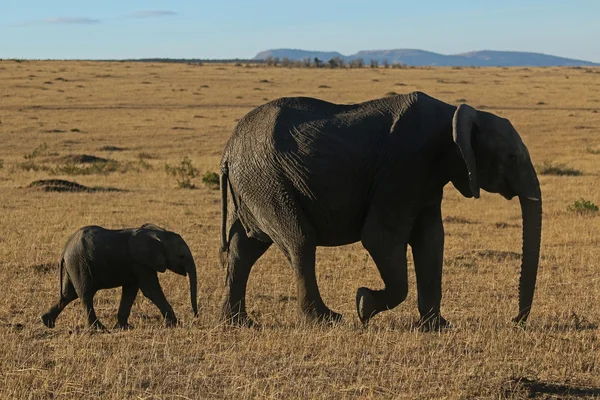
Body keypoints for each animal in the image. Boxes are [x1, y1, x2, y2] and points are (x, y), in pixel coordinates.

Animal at [40, 223, 199, 330]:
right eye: (181, 256)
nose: (196, 317)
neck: (159, 234)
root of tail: (65, 250)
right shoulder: (140, 263)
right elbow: (151, 290)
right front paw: (174, 324)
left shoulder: (137, 265)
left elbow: (130, 291)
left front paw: (124, 327)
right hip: (79, 263)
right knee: (85, 295)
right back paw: (99, 330)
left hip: (73, 265)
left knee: (68, 294)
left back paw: (47, 322)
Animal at [218, 92, 540, 330]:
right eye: (512, 157)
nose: (516, 321)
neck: (453, 116)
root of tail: (228, 150)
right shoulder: (403, 167)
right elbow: (380, 238)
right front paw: (363, 305)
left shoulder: (427, 178)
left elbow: (431, 240)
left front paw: (437, 326)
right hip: (267, 179)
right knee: (299, 241)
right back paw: (327, 320)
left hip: (253, 184)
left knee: (244, 249)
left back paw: (238, 323)